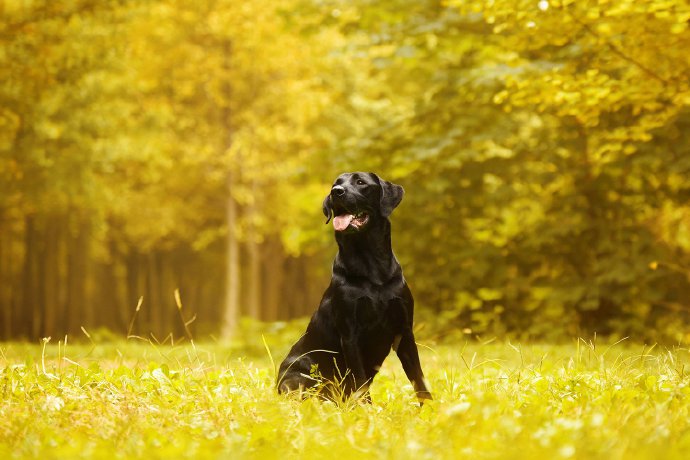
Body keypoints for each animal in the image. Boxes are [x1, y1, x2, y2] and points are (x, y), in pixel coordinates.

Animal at [276, 172, 430, 402]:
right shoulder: (350, 333)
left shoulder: (404, 331)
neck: (372, 267)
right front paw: (366, 410)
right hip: (299, 377)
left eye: (360, 182)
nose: (336, 192)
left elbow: (418, 379)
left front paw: (430, 409)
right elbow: (360, 382)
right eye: (335, 184)